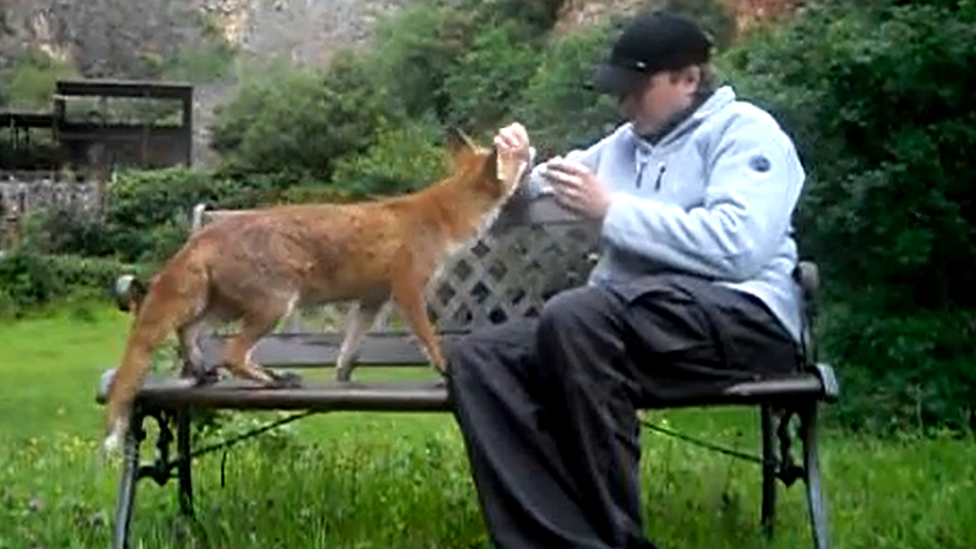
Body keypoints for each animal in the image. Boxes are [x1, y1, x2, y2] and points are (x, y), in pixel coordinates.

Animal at [102, 130, 528, 454]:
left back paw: (205, 373)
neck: (441, 216)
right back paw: (271, 379)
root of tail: (204, 233)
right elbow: (429, 339)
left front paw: (342, 378)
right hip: (274, 305)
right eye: (514, 155)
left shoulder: (371, 300)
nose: (527, 143)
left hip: (223, 308)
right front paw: (443, 367)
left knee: (189, 334)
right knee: (232, 354)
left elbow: (350, 347)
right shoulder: (408, 290)